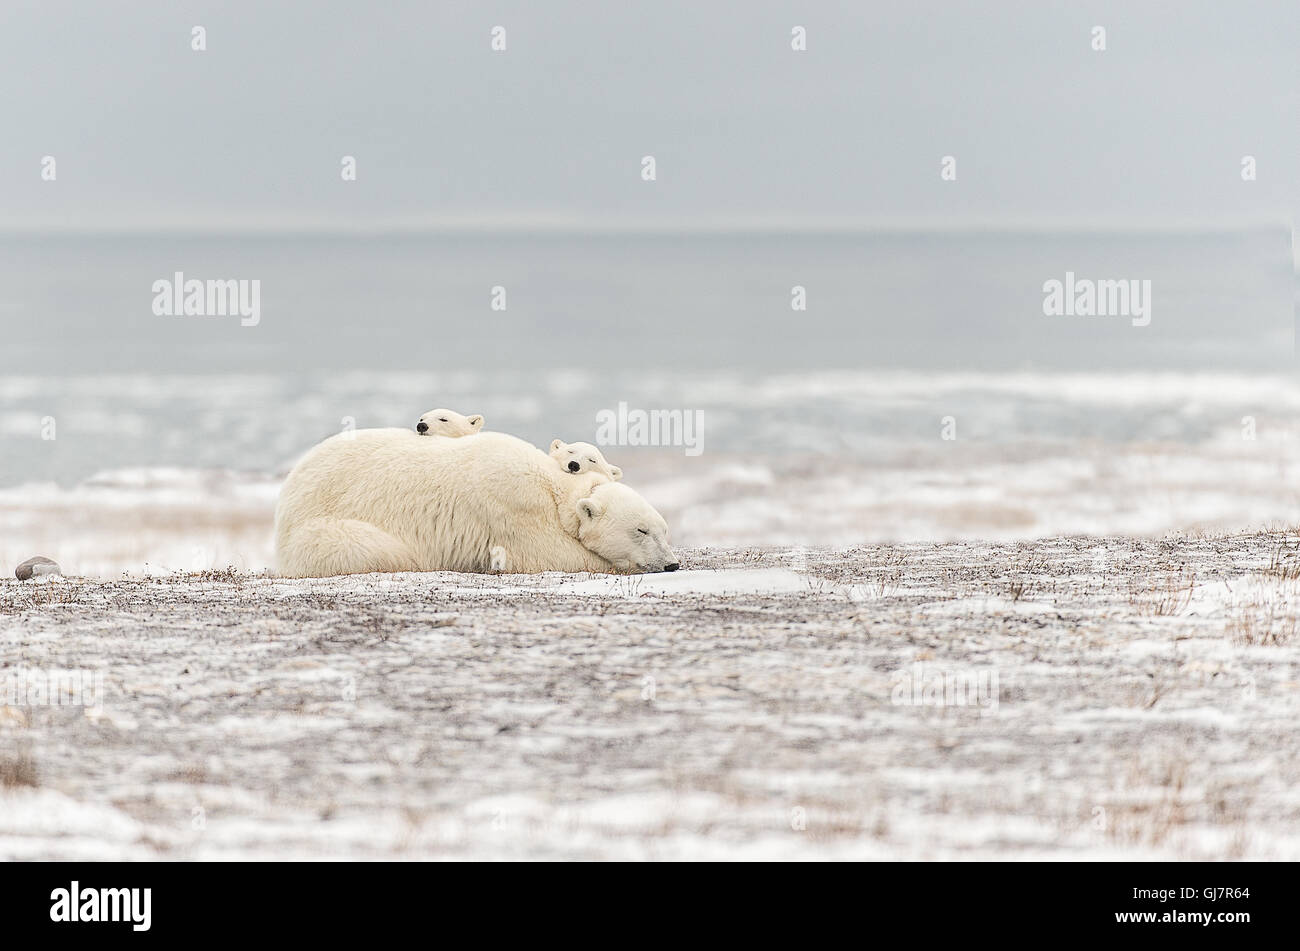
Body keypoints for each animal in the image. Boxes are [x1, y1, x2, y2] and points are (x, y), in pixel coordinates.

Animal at [274, 428, 677, 577]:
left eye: (664, 530)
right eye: (641, 530)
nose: (672, 564)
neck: (555, 490)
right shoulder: (512, 508)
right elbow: (554, 555)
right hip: (326, 528)